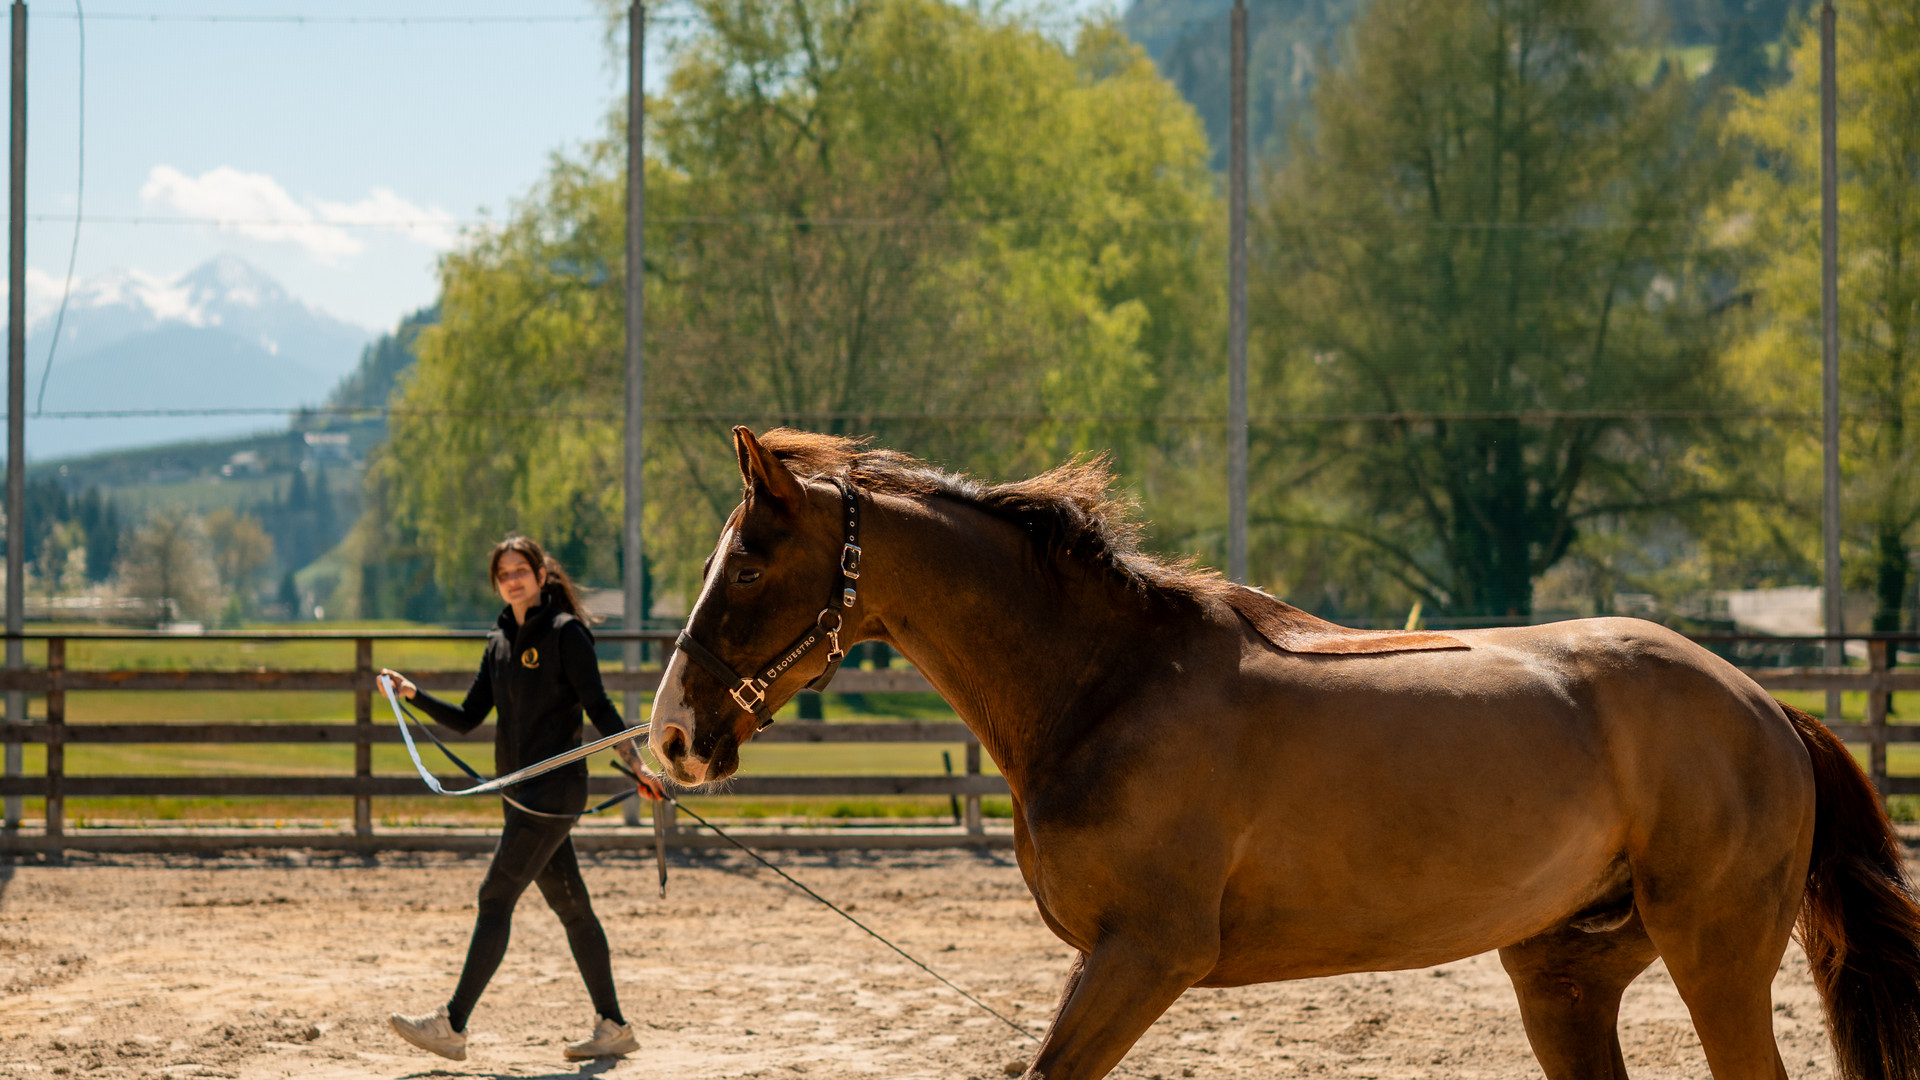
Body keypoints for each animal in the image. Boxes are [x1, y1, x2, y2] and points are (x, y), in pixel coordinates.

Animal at [648, 426, 1920, 1080]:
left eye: (749, 562)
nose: (670, 735)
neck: (1107, 686)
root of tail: (1767, 710)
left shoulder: (1143, 956)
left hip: (1716, 956)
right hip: (1563, 972)